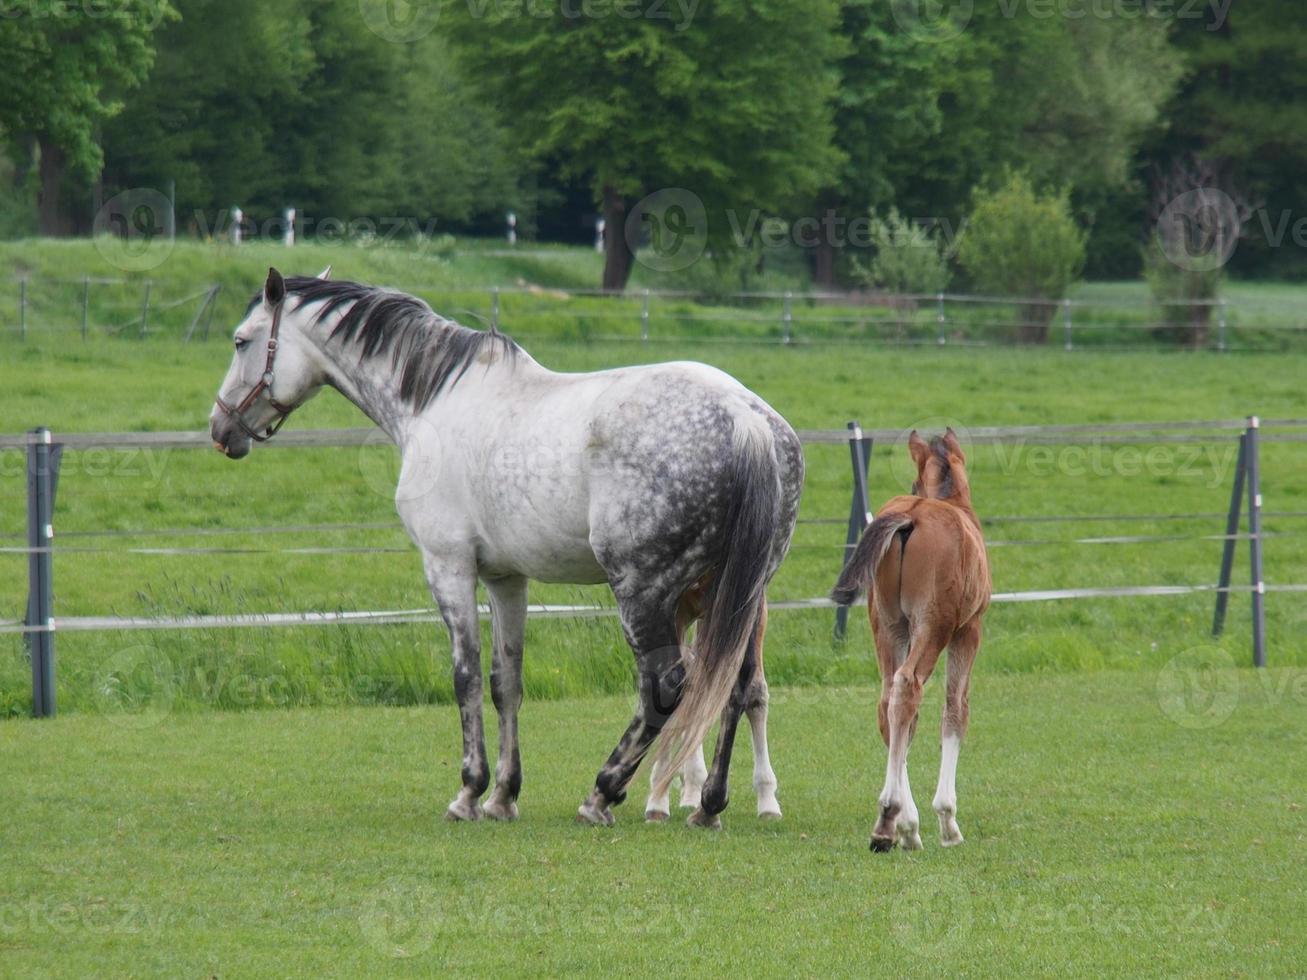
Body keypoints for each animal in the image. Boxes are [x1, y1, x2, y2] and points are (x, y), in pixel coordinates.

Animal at [836, 428, 988, 851]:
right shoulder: (968, 631)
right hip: (932, 627)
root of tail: (912, 516)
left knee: (889, 699)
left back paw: (899, 825)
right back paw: (893, 818)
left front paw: (915, 822)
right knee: (909, 688)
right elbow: (956, 709)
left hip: (887, 625)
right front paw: (948, 821)